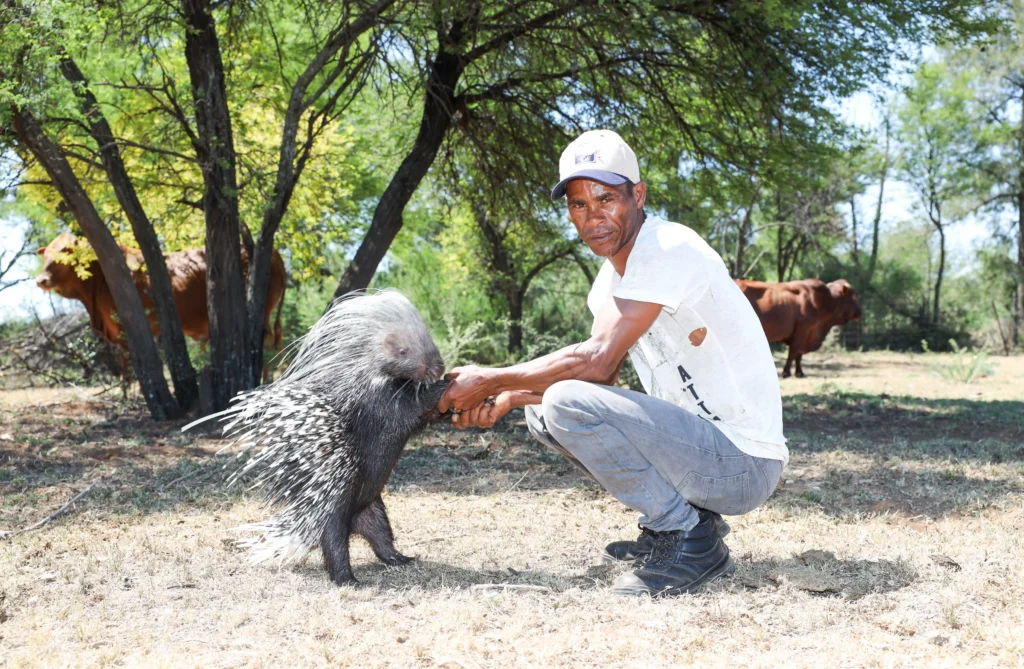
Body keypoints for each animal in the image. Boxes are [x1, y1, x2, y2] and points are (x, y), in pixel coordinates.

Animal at [37, 233, 284, 370]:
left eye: (65, 251)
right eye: (45, 254)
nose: (41, 280)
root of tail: (274, 252)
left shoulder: (125, 329)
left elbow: (130, 367)